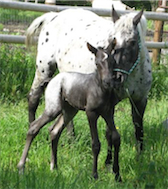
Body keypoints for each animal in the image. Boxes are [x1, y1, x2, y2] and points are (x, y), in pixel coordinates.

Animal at [17, 39, 122, 182]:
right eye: (96, 63)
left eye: (113, 62)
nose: (108, 82)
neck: (100, 89)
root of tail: (52, 79)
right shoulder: (91, 113)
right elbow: (96, 144)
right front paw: (94, 175)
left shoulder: (108, 113)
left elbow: (116, 138)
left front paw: (117, 175)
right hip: (54, 109)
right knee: (34, 127)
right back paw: (21, 167)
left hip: (69, 111)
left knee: (54, 131)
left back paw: (54, 166)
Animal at [25, 7, 151, 155]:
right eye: (111, 40)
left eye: (132, 42)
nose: (115, 77)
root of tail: (54, 16)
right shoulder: (110, 104)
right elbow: (110, 134)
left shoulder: (140, 100)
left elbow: (138, 128)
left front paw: (140, 155)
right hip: (44, 70)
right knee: (33, 98)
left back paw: (71, 139)